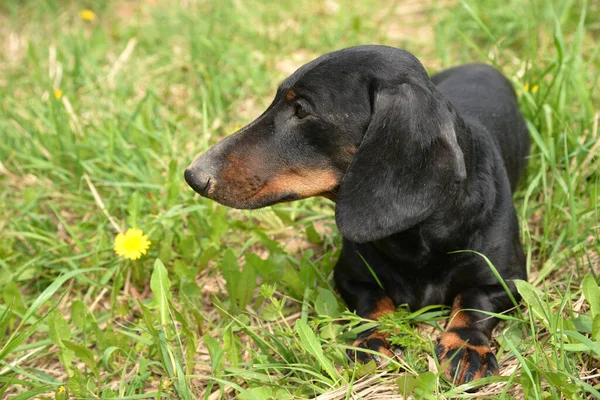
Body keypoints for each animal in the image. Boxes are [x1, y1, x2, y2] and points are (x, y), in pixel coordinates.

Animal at [184, 44, 528, 384]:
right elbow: (372, 303)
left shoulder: (507, 282)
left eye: (302, 111)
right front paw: (374, 339)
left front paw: (466, 346)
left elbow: (473, 304)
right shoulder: (350, 277)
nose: (194, 176)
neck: (416, 238)